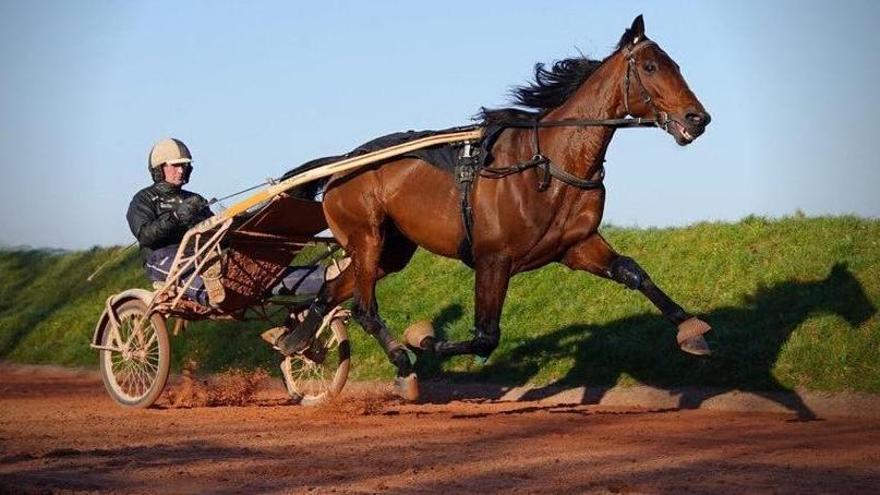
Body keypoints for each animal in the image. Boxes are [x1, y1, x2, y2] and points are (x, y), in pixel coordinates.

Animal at [292, 16, 712, 396]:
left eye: (677, 65)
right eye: (651, 67)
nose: (698, 118)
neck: (550, 162)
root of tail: (342, 163)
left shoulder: (575, 246)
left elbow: (632, 272)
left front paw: (691, 330)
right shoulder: (493, 258)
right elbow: (484, 337)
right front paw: (421, 338)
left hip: (391, 251)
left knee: (330, 291)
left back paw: (296, 342)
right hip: (367, 236)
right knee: (364, 308)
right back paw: (400, 364)